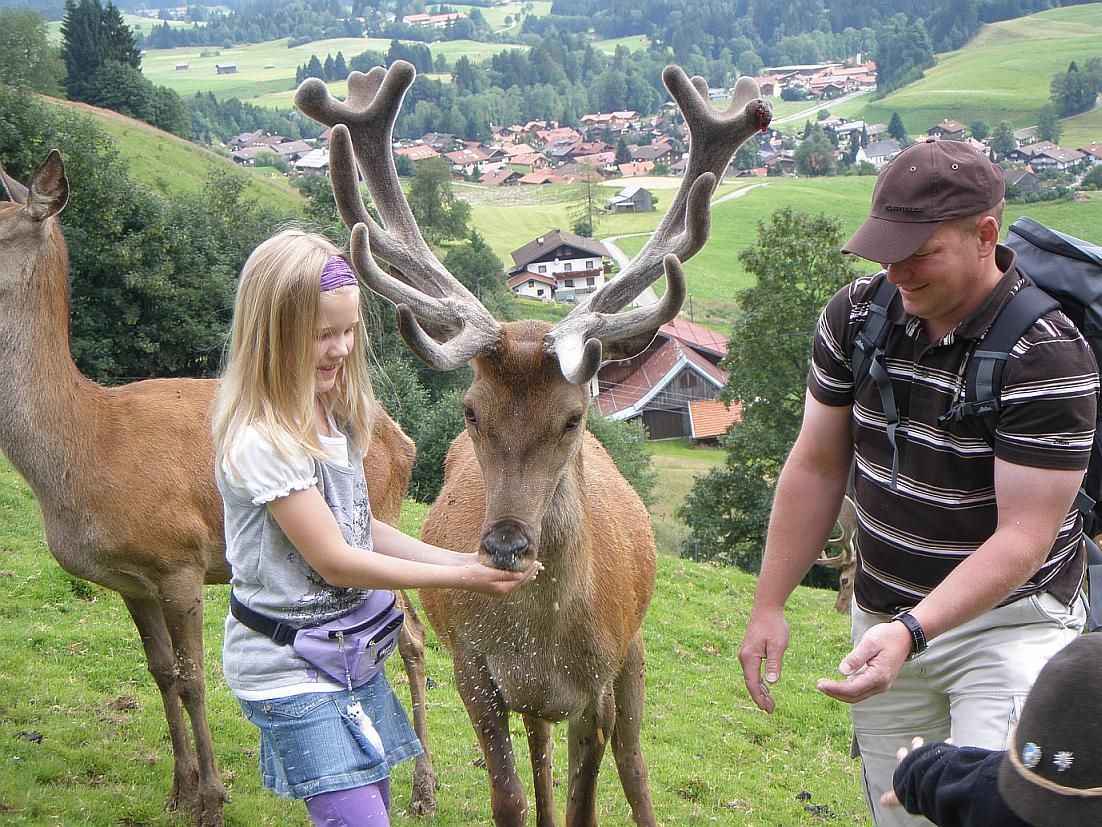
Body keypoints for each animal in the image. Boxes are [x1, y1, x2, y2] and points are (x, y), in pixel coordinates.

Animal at [0, 151, 438, 825]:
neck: (87, 450)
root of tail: (403, 440)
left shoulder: (175, 559)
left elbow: (193, 677)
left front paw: (210, 797)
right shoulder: (130, 581)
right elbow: (159, 672)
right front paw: (178, 788)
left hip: (377, 525)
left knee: (412, 637)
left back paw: (423, 787)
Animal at [295, 59, 772, 824]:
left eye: (574, 417)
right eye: (469, 410)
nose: (507, 544)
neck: (542, 642)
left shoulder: (597, 687)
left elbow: (587, 802)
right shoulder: (475, 671)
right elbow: (512, 800)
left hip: (634, 651)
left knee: (635, 765)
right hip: (530, 699)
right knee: (540, 759)